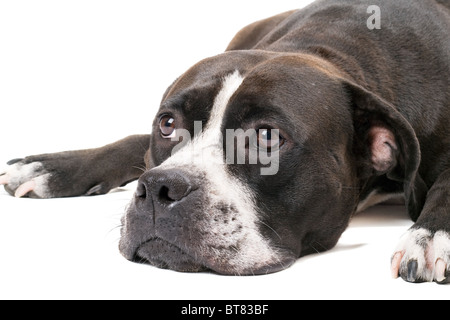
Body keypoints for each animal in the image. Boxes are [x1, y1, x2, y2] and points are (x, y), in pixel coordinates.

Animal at [0, 0, 450, 282]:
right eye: (166, 124)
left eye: (267, 136)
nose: (159, 187)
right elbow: (135, 140)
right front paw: (53, 166)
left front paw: (429, 236)